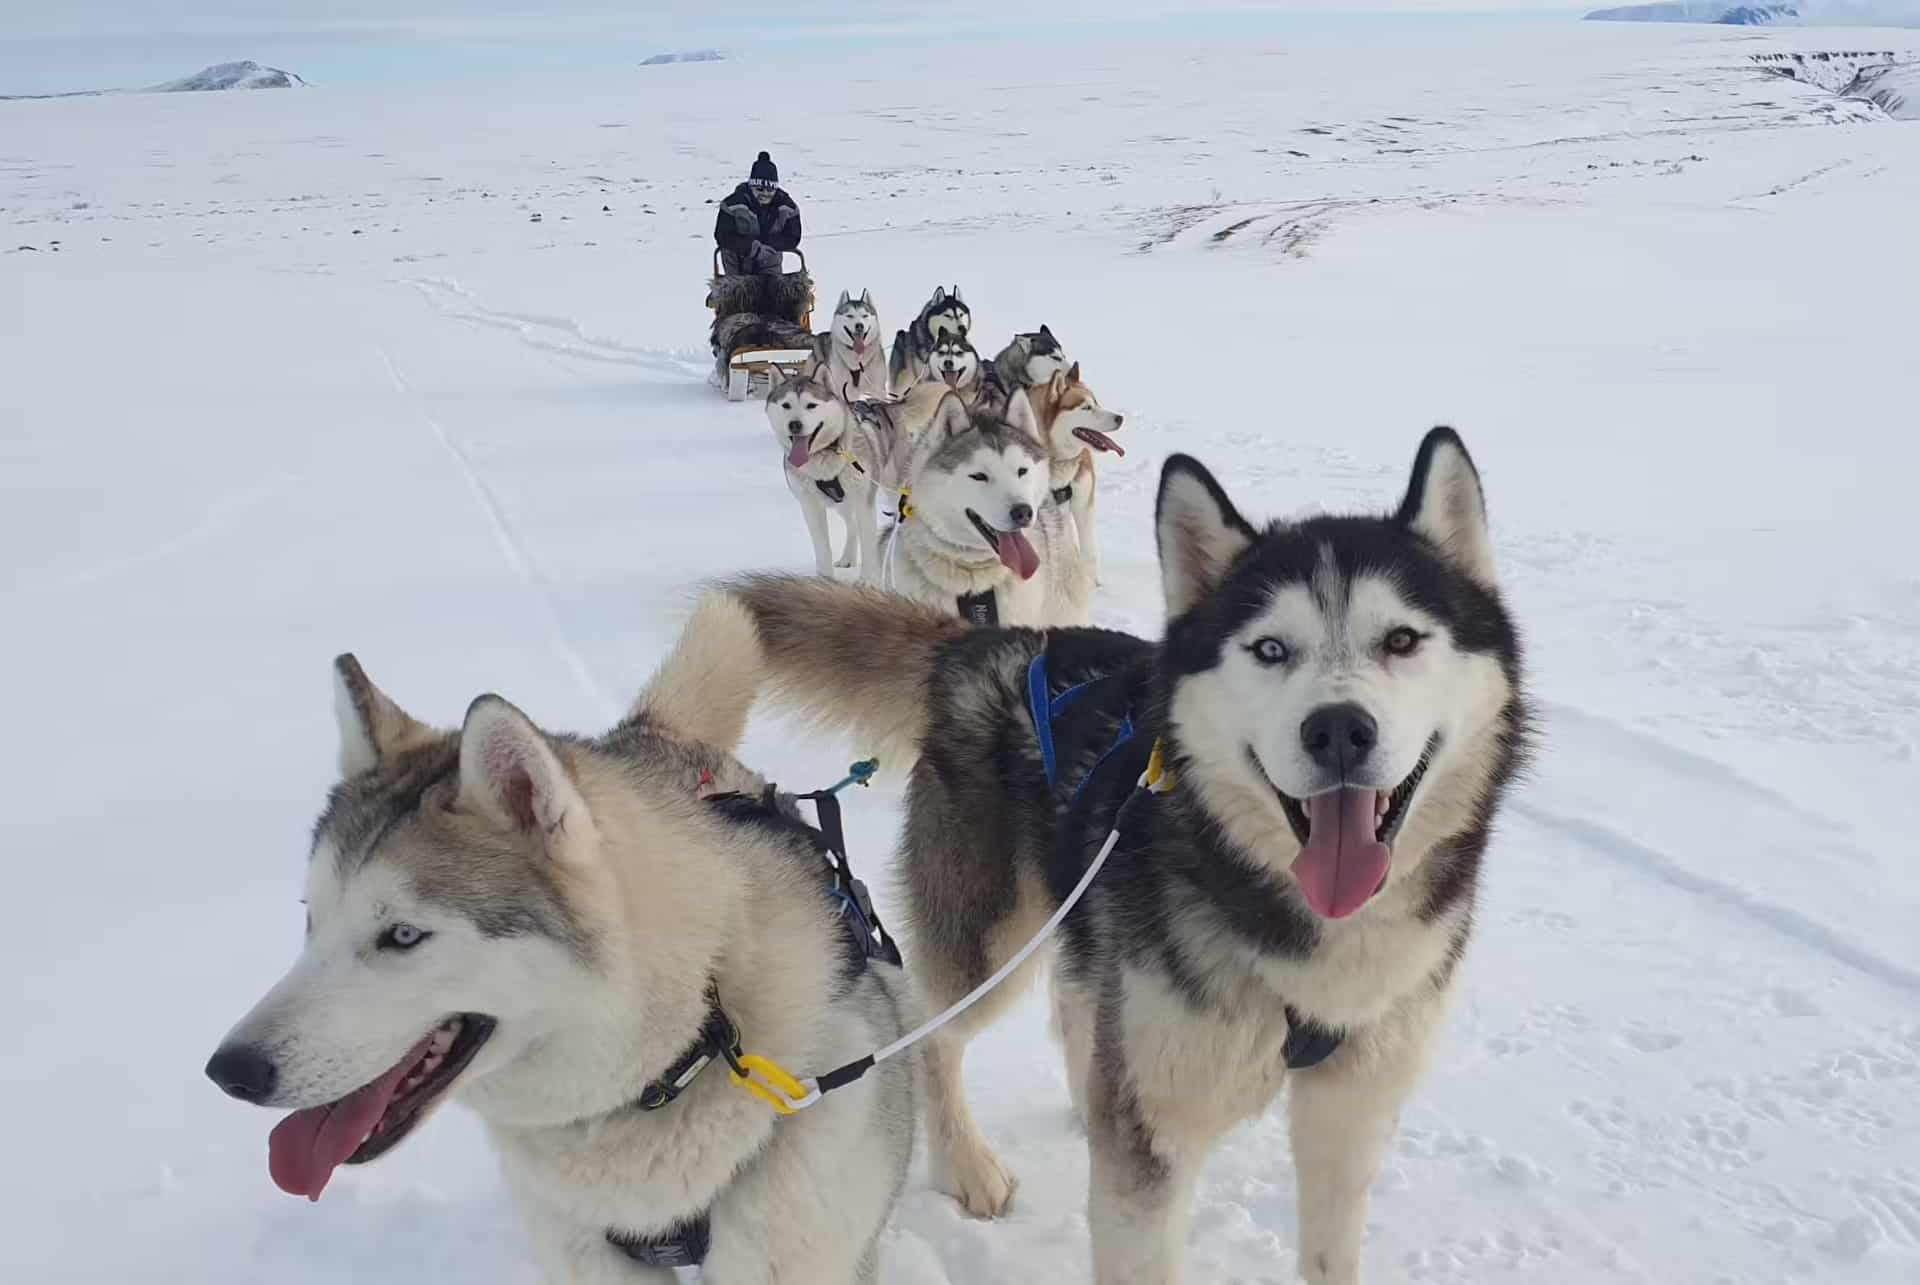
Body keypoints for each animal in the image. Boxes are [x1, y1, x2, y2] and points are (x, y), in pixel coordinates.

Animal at [675, 426, 1528, 1275]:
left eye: (1403, 639)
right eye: (1270, 648)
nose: (1340, 729)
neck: (1303, 938)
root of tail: (996, 643)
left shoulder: (1349, 1120)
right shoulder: (1152, 1146)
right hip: (989, 946)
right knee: (936, 1032)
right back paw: (966, 1163)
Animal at [760, 370, 902, 580]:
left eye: (811, 405)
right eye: (786, 405)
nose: (795, 425)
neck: (825, 456)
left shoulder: (864, 501)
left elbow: (868, 545)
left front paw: (868, 581)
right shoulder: (810, 504)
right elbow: (822, 547)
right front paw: (825, 581)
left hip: (893, 492)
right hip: (840, 502)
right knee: (852, 525)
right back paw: (848, 557)